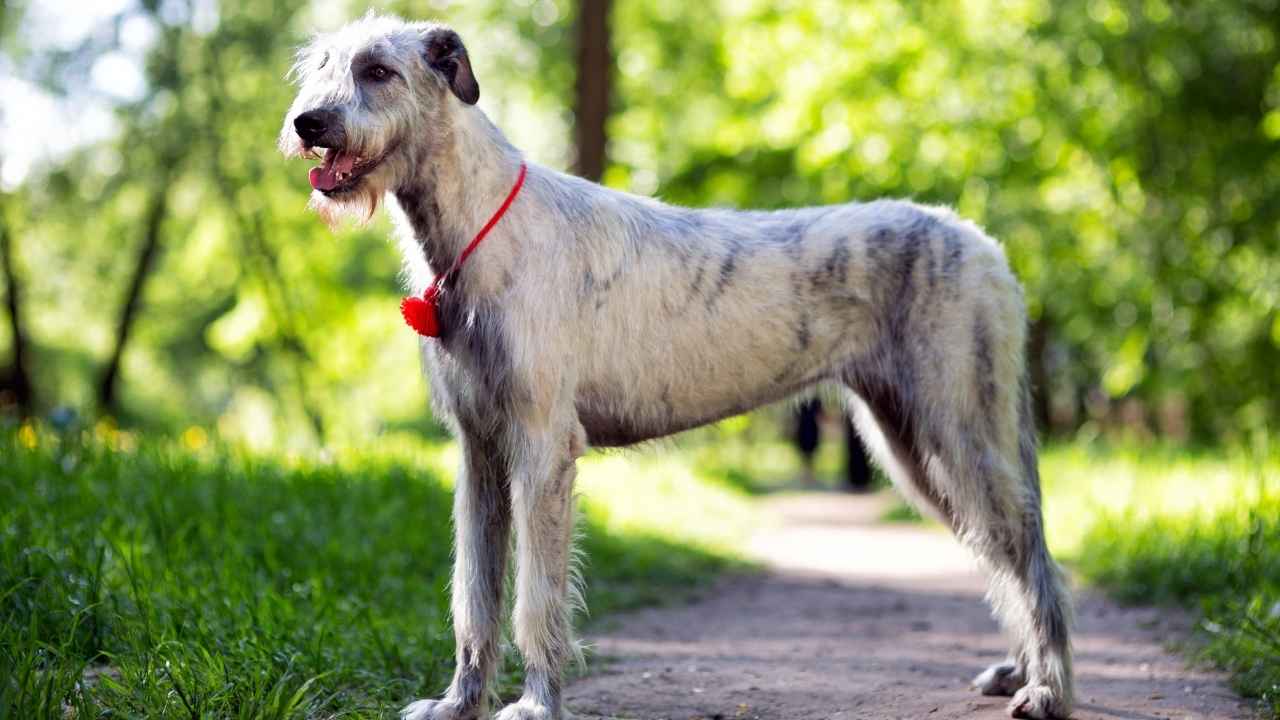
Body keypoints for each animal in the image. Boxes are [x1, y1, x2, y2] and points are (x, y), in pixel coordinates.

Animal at [277, 12, 1070, 717]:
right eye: (322, 65)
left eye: (378, 69)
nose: (308, 123)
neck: (479, 227)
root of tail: (986, 245)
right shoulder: (479, 452)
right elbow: (472, 593)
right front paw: (458, 702)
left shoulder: (542, 446)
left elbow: (536, 597)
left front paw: (535, 704)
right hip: (913, 444)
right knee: (1007, 554)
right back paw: (1019, 671)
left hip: (961, 427)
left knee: (1032, 557)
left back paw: (1049, 691)